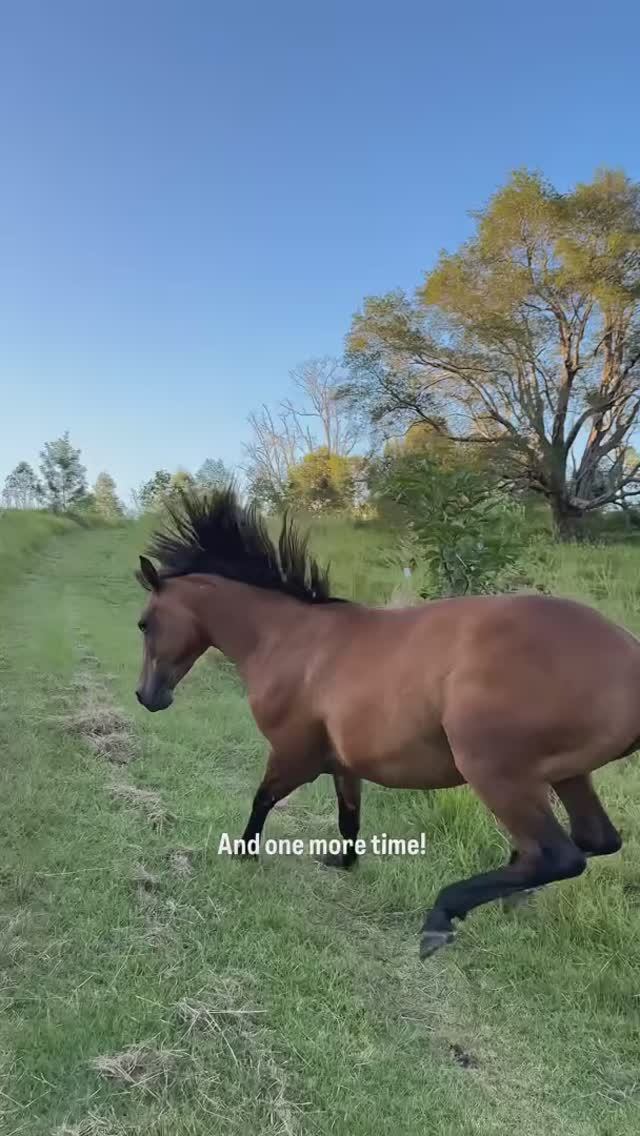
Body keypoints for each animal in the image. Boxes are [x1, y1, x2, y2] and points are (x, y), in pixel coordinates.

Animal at [134, 488, 638, 958]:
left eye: (143, 623)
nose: (147, 696)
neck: (291, 640)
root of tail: (629, 655)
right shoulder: (342, 762)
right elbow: (349, 819)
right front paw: (342, 863)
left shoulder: (294, 754)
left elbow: (262, 800)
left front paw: (244, 853)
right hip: (566, 773)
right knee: (592, 839)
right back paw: (511, 897)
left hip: (497, 772)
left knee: (558, 854)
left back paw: (444, 915)